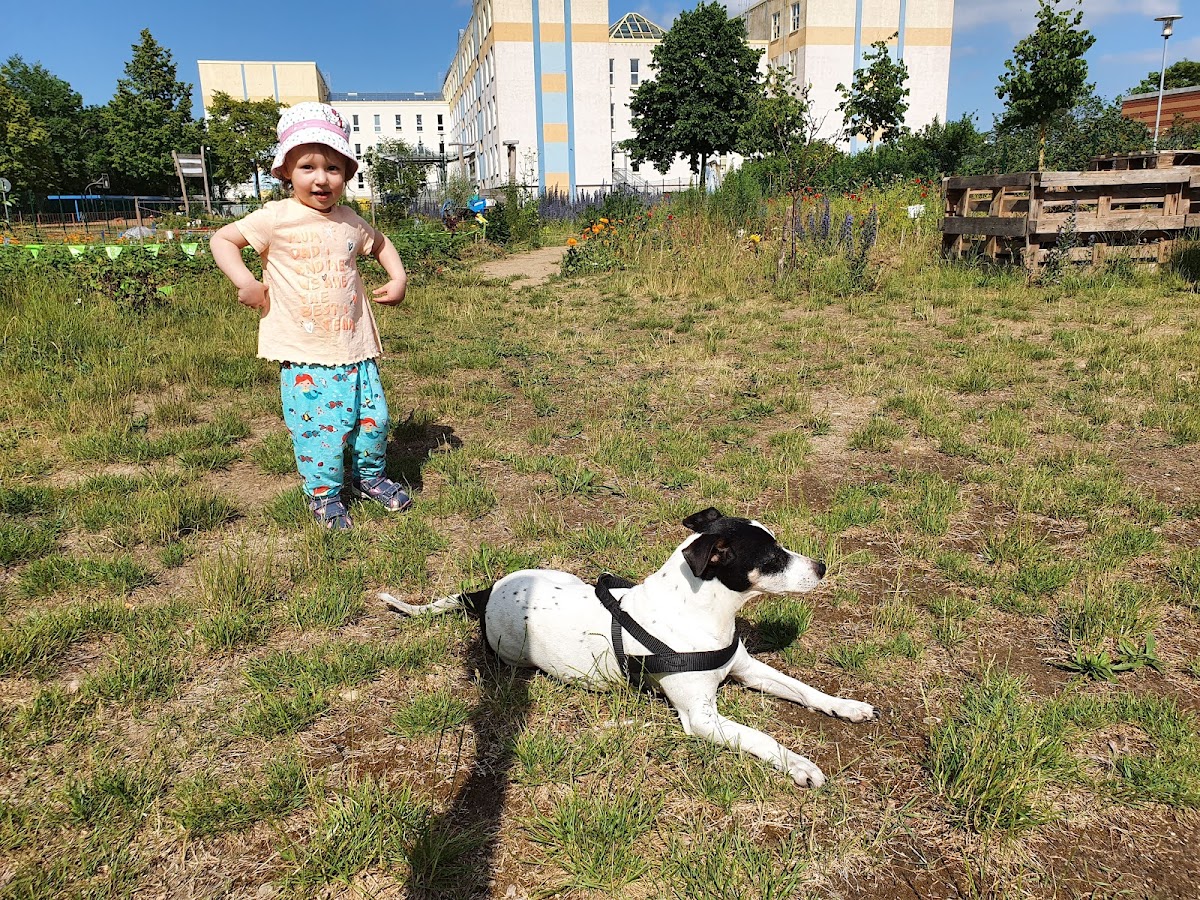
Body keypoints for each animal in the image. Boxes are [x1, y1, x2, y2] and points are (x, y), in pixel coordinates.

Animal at [380, 508, 878, 788]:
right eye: (772, 557)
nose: (822, 566)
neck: (701, 613)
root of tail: (485, 594)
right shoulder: (702, 719)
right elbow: (761, 736)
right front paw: (798, 764)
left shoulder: (747, 669)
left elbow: (804, 689)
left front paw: (845, 705)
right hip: (510, 653)